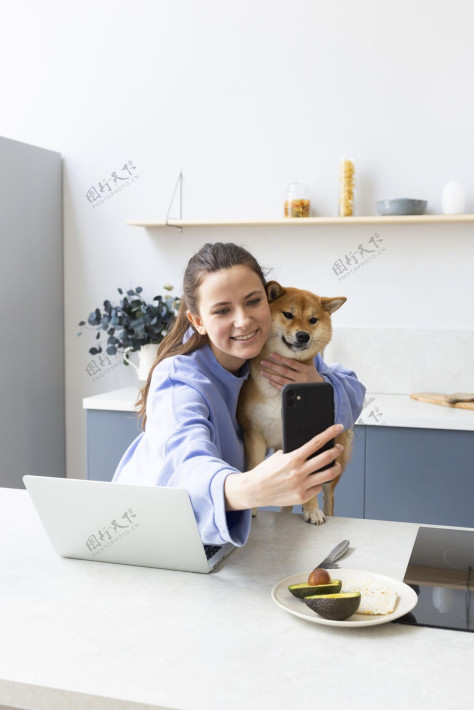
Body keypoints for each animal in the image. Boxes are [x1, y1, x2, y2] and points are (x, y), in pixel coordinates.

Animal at [236, 280, 352, 524]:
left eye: (313, 320)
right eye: (288, 314)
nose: (303, 336)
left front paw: (311, 509)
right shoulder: (254, 433)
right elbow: (254, 468)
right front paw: (251, 509)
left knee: (329, 496)